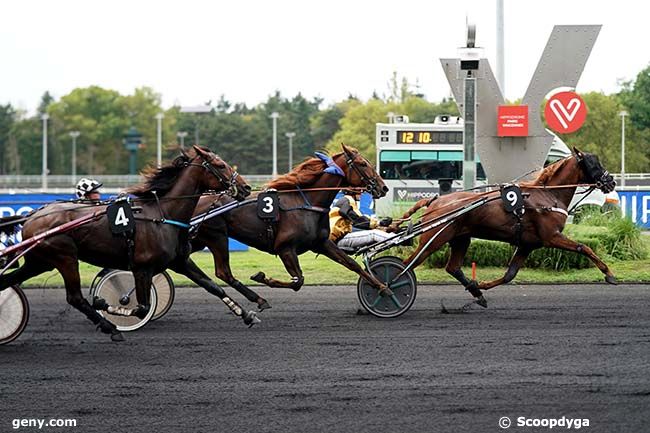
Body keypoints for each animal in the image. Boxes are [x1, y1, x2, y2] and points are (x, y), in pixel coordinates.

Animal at [0, 145, 251, 340]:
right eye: (220, 165)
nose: (246, 187)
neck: (162, 215)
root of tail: (32, 216)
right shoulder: (142, 268)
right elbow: (141, 308)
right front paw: (103, 304)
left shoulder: (179, 261)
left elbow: (212, 286)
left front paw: (245, 313)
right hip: (65, 257)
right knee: (75, 297)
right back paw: (110, 327)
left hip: (40, 262)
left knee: (7, 281)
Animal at [186, 143, 390, 308]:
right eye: (362, 164)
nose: (384, 187)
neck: (306, 202)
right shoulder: (285, 248)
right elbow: (297, 281)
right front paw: (262, 277)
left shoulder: (322, 243)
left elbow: (351, 264)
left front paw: (382, 287)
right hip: (216, 237)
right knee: (223, 272)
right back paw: (258, 300)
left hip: (198, 240)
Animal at [392, 147, 616, 306]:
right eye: (594, 163)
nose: (611, 182)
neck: (548, 195)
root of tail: (436, 201)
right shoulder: (551, 237)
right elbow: (584, 247)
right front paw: (609, 274)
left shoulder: (528, 245)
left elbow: (510, 275)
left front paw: (481, 285)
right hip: (434, 239)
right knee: (408, 264)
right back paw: (390, 286)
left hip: (461, 238)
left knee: (453, 267)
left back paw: (477, 293)